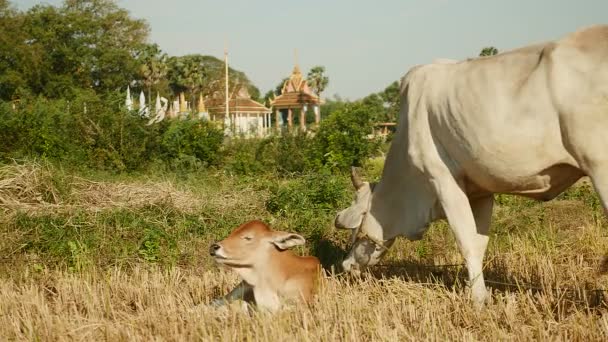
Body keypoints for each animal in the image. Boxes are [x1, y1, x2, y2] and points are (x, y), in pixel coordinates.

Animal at [334, 24, 608, 308]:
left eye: (356, 230)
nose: (346, 265)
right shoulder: (481, 192)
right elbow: (479, 243)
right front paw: (482, 295)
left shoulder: (443, 180)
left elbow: (466, 241)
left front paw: (476, 301)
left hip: (600, 167)